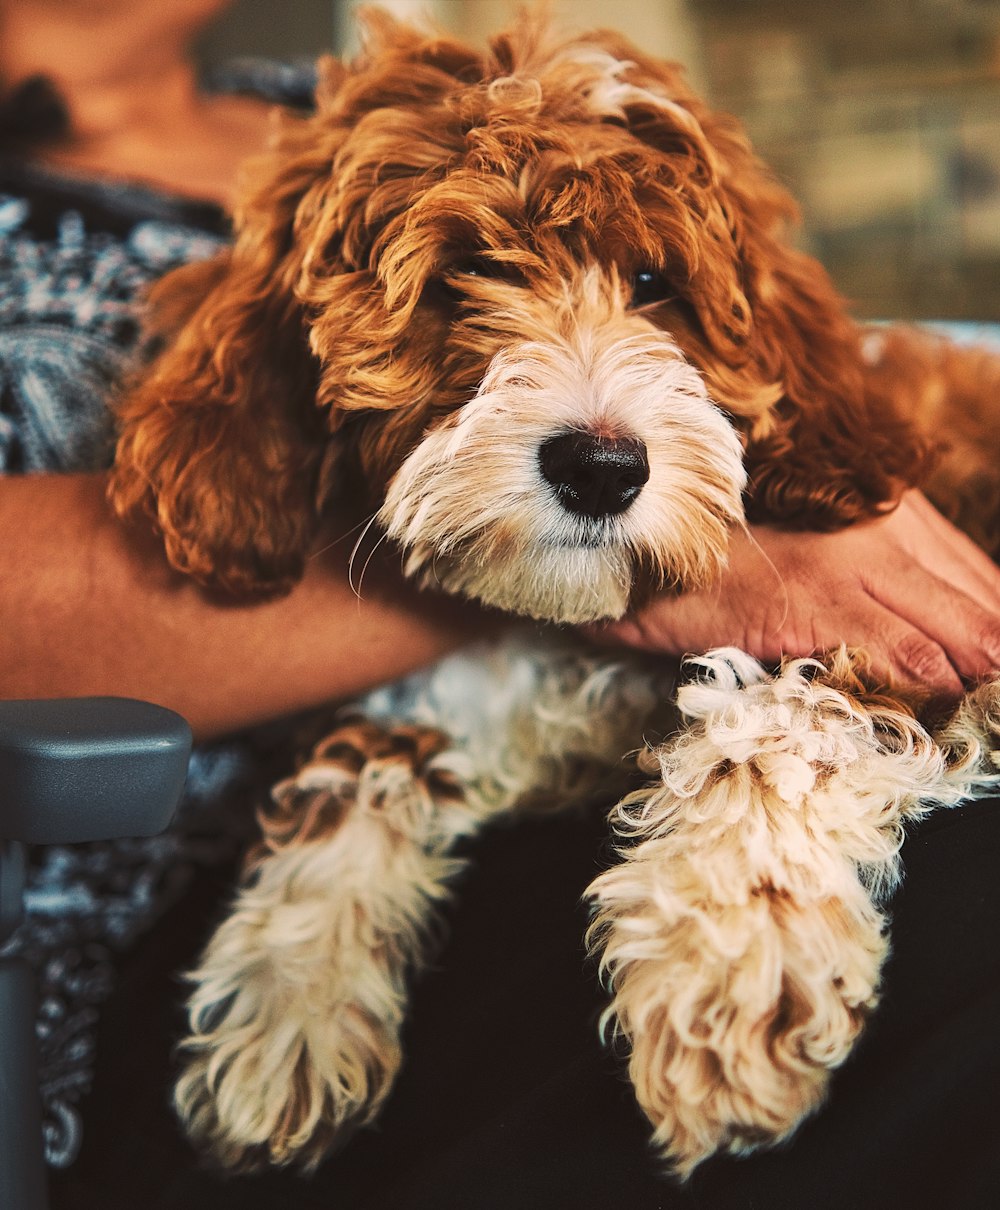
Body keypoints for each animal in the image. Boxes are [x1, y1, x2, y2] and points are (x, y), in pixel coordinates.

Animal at [108, 7, 997, 1180]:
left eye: (657, 284)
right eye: (460, 275)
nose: (600, 467)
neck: (572, 626)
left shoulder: (908, 630)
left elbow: (782, 714)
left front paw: (725, 972)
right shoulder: (464, 692)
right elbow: (357, 769)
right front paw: (286, 1003)